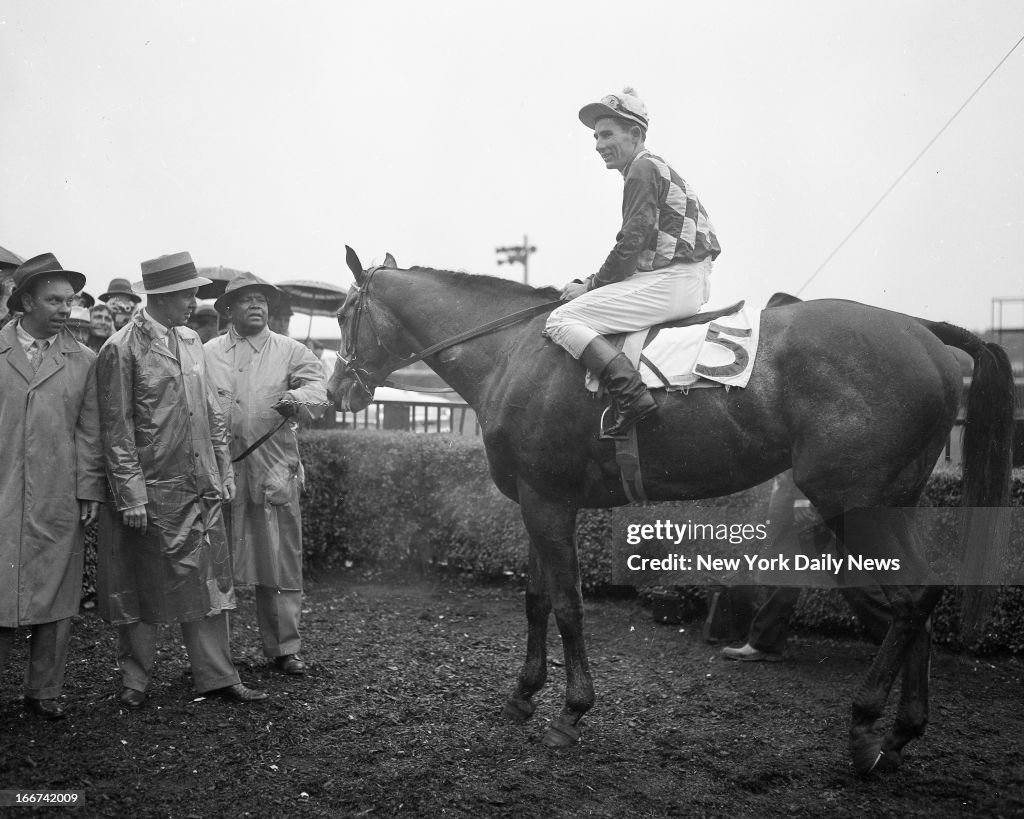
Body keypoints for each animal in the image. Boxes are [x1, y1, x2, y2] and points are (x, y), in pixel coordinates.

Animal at [326, 247, 1015, 775]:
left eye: (341, 314)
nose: (336, 393)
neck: (511, 352)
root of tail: (923, 332)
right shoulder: (537, 498)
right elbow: (536, 598)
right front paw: (523, 694)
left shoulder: (548, 500)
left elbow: (569, 605)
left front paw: (570, 712)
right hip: (896, 499)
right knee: (921, 600)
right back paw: (899, 733)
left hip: (854, 501)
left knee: (911, 599)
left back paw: (865, 724)